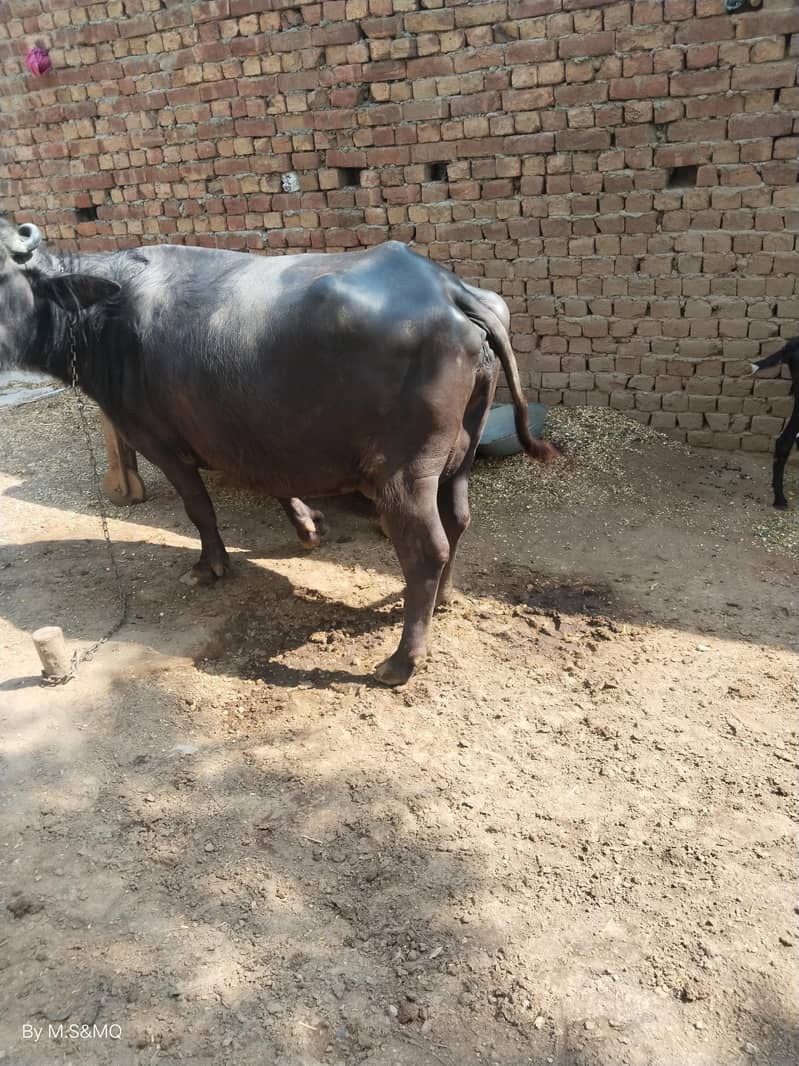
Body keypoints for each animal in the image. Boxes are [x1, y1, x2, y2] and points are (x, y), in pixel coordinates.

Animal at [0, 219, 556, 685]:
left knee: (426, 549)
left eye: (3, 278)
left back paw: (400, 662)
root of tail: (448, 288)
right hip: (460, 453)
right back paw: (445, 598)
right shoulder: (253, 435)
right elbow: (272, 482)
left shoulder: (162, 444)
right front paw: (308, 528)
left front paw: (210, 566)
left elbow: (199, 509)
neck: (104, 320)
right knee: (458, 520)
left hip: (403, 471)